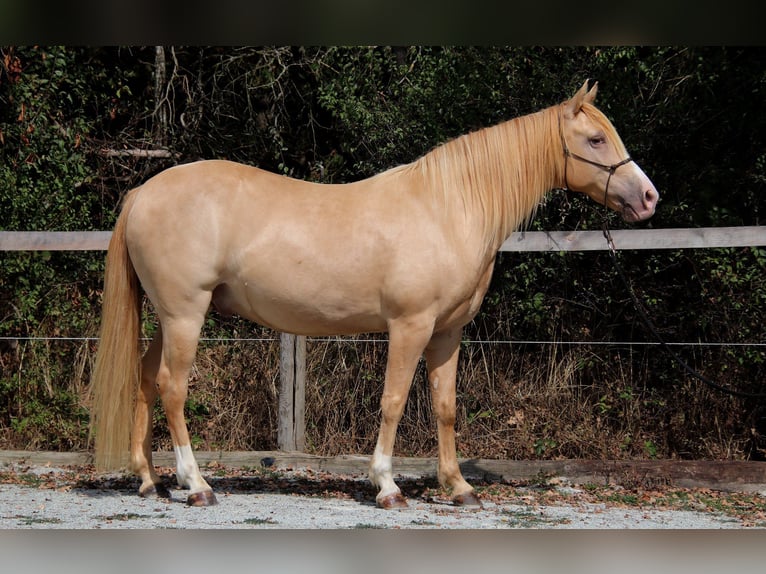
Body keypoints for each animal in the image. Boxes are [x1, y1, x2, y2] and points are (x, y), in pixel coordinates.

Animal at [90, 80, 658, 509]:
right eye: (595, 140)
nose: (649, 197)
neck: (447, 208)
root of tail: (144, 192)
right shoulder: (410, 326)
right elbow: (394, 400)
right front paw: (386, 485)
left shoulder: (447, 332)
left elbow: (444, 406)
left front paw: (459, 487)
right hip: (186, 313)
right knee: (172, 387)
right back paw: (196, 484)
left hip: (170, 318)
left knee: (146, 379)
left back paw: (149, 481)